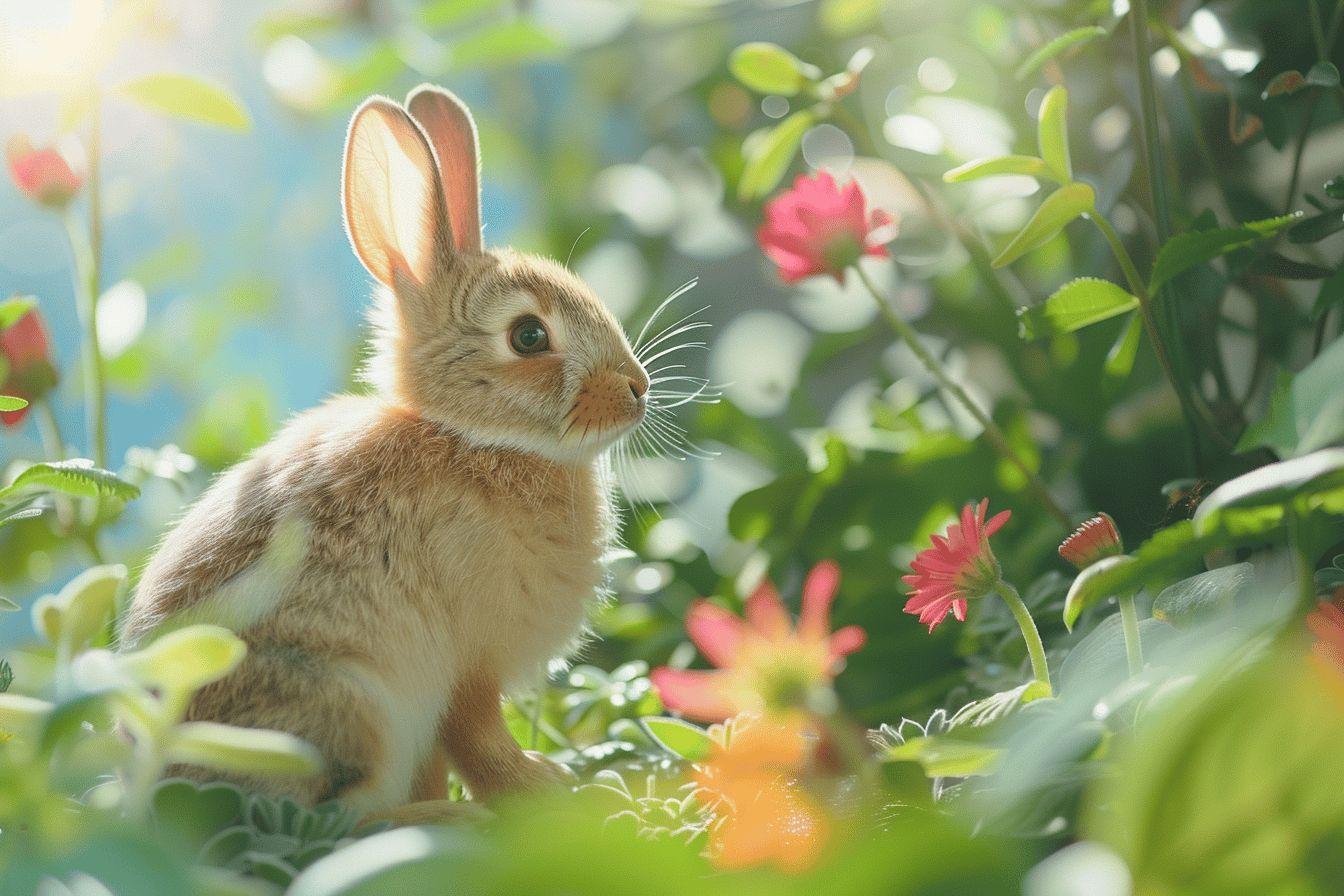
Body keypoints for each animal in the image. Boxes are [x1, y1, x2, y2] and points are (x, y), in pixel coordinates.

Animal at [118, 84, 651, 825]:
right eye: (528, 336)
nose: (638, 390)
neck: (468, 436)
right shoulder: (465, 666)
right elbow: (479, 740)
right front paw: (550, 794)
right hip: (353, 707)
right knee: (336, 824)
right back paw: (447, 819)